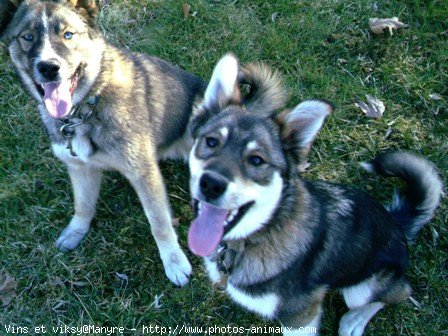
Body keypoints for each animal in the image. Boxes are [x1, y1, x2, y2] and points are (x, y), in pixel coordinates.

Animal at [0, 0, 206, 286]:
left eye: (68, 35)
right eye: (27, 37)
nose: (48, 67)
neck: (87, 106)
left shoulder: (143, 172)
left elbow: (159, 222)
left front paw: (174, 262)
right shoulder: (80, 168)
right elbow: (83, 205)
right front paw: (75, 232)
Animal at [187, 54, 442, 334]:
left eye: (256, 160)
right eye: (211, 142)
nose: (211, 184)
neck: (260, 234)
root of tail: (396, 221)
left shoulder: (301, 316)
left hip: (362, 288)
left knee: (398, 293)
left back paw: (354, 321)